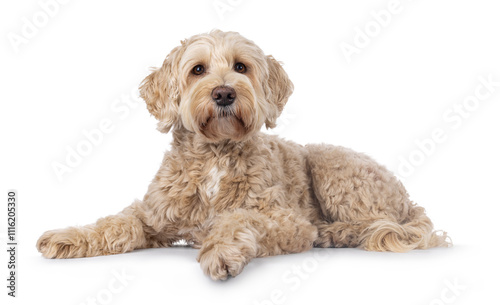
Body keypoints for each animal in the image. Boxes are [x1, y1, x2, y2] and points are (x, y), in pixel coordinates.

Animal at [36, 29, 450, 280]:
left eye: (241, 66)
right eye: (197, 69)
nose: (223, 93)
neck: (215, 157)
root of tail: (408, 198)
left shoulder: (286, 220)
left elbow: (238, 219)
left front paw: (220, 251)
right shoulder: (153, 213)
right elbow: (115, 222)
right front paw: (70, 236)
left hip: (332, 167)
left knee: (375, 221)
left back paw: (337, 232)